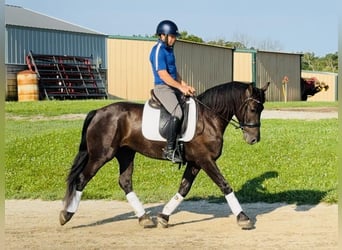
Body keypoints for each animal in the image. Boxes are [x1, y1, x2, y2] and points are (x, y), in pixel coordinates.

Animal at [60, 81, 272, 229]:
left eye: (262, 108)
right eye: (253, 108)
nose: (254, 139)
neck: (208, 118)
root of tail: (98, 112)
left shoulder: (196, 162)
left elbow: (184, 188)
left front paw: (164, 216)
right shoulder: (205, 160)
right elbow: (224, 185)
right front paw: (243, 218)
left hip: (126, 154)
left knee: (125, 182)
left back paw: (144, 218)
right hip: (101, 155)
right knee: (81, 179)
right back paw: (66, 215)